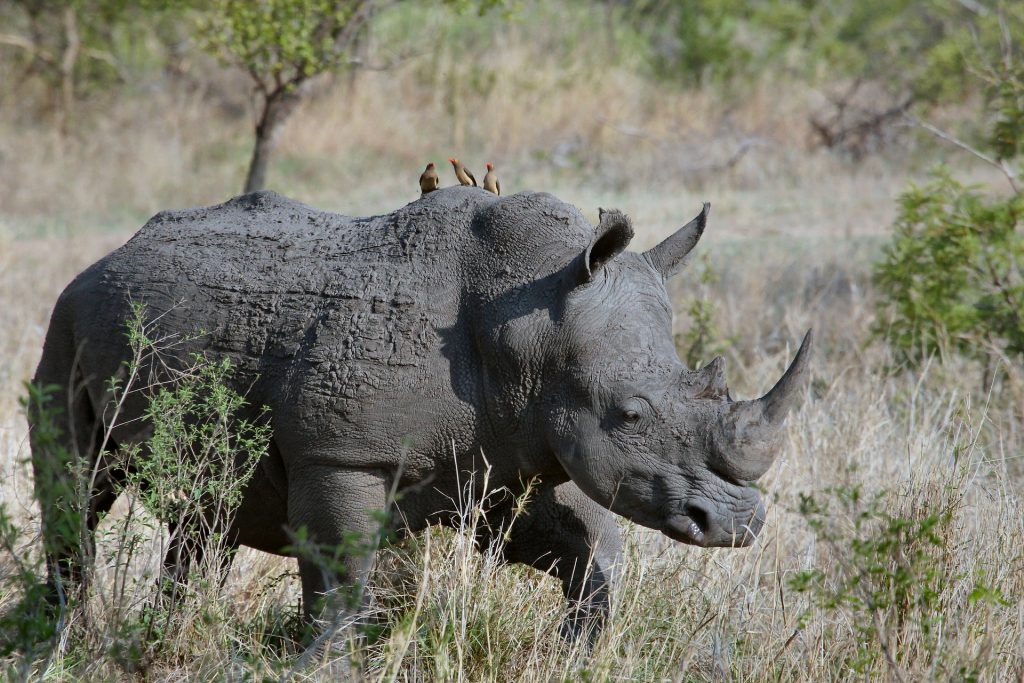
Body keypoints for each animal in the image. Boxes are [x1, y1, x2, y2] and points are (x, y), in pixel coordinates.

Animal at [30, 186, 811, 639]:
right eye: (630, 413)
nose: (737, 525)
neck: (529, 324)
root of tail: (112, 253)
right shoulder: (342, 454)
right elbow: (342, 577)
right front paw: (324, 662)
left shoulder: (507, 451)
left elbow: (592, 550)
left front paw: (575, 650)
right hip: (66, 316)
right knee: (77, 487)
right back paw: (61, 642)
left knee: (205, 516)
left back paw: (160, 639)